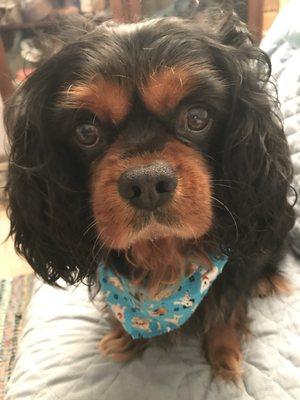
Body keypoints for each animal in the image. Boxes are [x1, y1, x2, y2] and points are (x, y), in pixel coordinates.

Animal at [5, 7, 296, 380]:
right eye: (86, 131)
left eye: (197, 117)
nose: (146, 184)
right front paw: (125, 337)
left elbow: (227, 306)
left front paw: (224, 351)